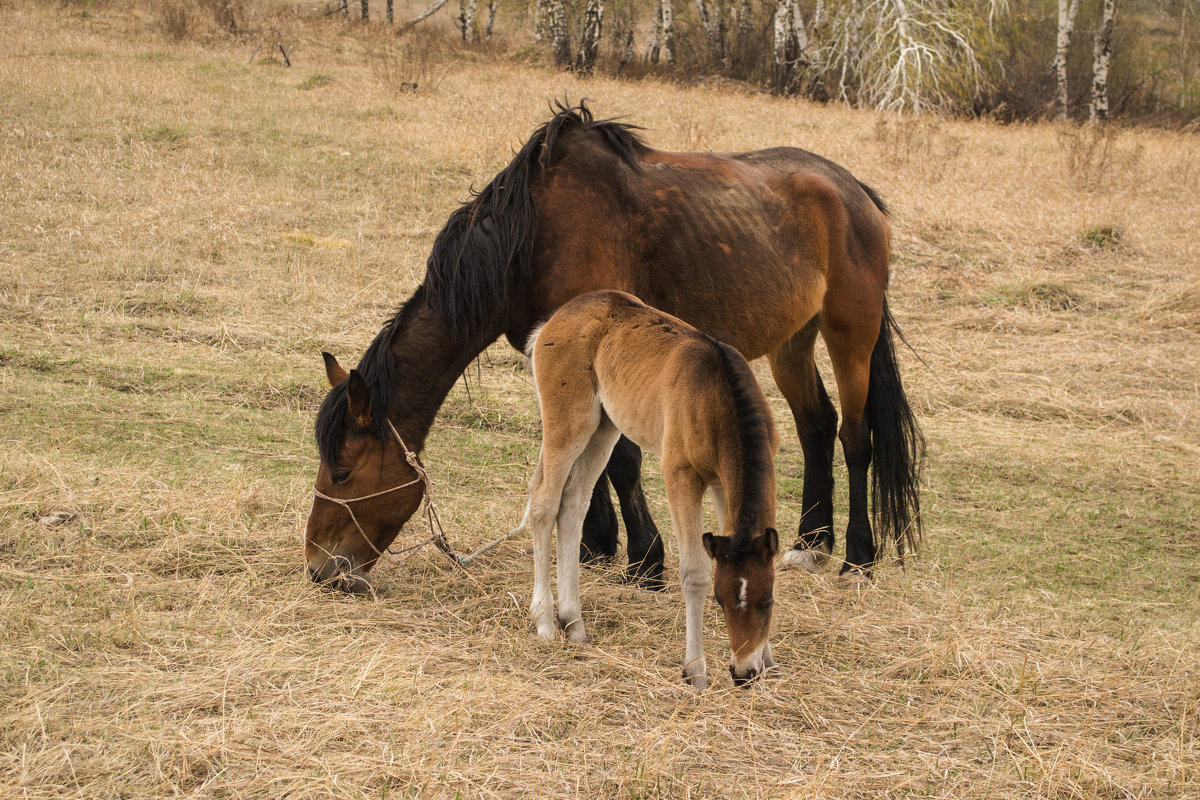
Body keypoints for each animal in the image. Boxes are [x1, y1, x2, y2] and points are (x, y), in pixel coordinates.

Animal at [304, 103, 921, 594]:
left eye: (342, 471)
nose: (320, 567)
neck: (530, 240)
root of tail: (855, 192)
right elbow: (583, 453)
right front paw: (594, 545)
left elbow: (620, 460)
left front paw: (645, 559)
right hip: (792, 341)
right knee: (816, 424)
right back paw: (809, 543)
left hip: (851, 334)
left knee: (855, 437)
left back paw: (857, 558)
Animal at [525, 291, 777, 690]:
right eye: (719, 601)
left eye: (767, 601)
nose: (742, 674)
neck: (716, 396)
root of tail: (557, 318)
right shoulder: (681, 476)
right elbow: (694, 572)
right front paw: (696, 671)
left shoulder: (724, 486)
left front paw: (767, 661)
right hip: (569, 423)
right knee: (543, 504)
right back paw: (546, 622)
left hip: (604, 429)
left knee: (573, 505)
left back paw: (574, 623)